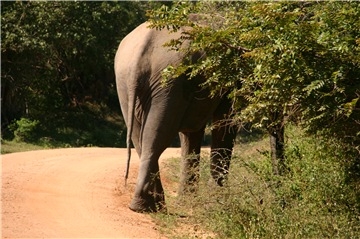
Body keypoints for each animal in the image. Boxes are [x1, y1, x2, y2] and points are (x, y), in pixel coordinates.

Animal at [115, 21, 238, 212]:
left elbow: (191, 132)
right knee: (157, 137)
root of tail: (138, 58)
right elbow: (226, 123)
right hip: (167, 83)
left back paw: (148, 207)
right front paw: (217, 205)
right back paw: (148, 207)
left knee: (141, 138)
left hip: (134, 83)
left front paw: (189, 203)